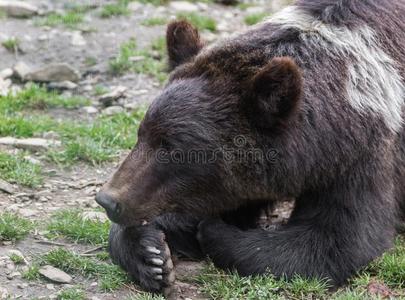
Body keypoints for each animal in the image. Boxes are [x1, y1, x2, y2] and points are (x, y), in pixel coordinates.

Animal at [95, 0, 404, 296]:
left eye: (174, 148)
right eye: (142, 133)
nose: (108, 200)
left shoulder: (360, 152)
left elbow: (335, 239)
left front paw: (214, 230)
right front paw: (152, 254)